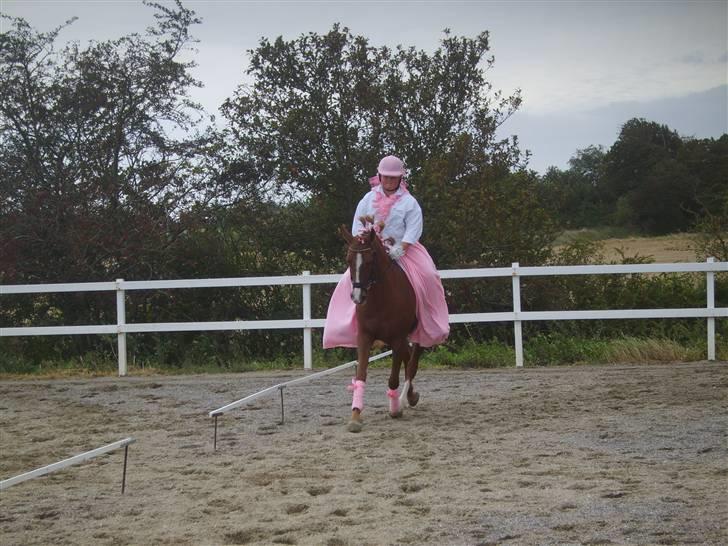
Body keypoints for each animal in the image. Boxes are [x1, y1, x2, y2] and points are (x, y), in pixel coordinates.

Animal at [340, 221, 424, 430]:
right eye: (348, 260)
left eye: (370, 261)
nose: (357, 297)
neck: (380, 299)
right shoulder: (364, 336)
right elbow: (361, 375)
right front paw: (355, 416)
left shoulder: (396, 338)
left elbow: (393, 379)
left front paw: (395, 409)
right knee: (407, 357)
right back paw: (410, 396)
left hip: (421, 334)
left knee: (412, 364)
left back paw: (404, 399)